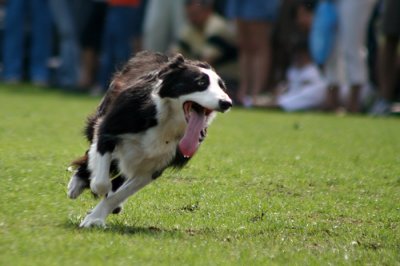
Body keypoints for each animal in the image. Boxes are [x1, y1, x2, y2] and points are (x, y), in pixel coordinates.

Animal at [67, 51, 233, 227]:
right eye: (200, 82)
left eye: (222, 87)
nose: (227, 103)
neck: (166, 120)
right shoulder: (110, 127)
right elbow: (101, 181)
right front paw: (94, 191)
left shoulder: (155, 166)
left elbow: (118, 194)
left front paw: (95, 218)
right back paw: (76, 184)